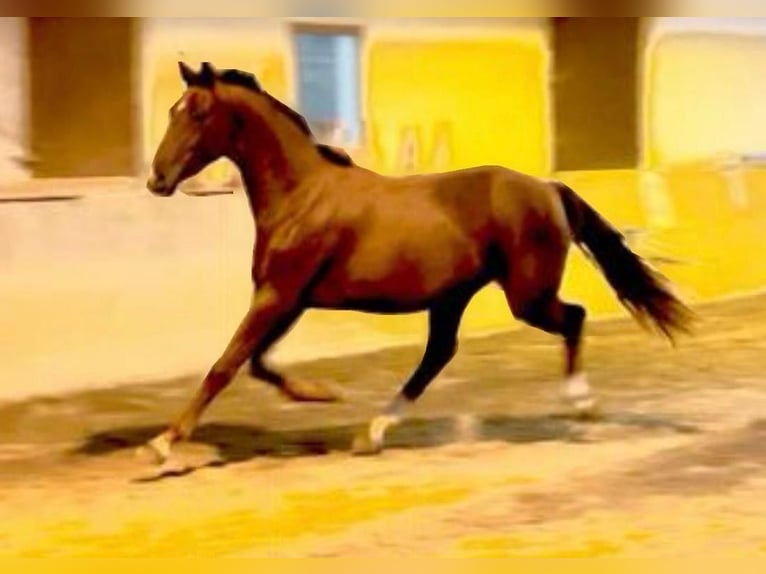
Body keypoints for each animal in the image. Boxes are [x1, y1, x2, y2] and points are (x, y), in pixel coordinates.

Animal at [141, 61, 693, 464]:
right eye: (173, 109)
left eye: (197, 112)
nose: (157, 179)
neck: (301, 195)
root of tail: (547, 189)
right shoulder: (289, 299)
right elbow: (257, 362)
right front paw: (319, 393)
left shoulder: (278, 295)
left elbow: (227, 364)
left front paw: (163, 444)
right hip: (453, 297)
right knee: (436, 357)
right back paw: (372, 432)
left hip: (526, 296)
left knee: (573, 318)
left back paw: (583, 406)